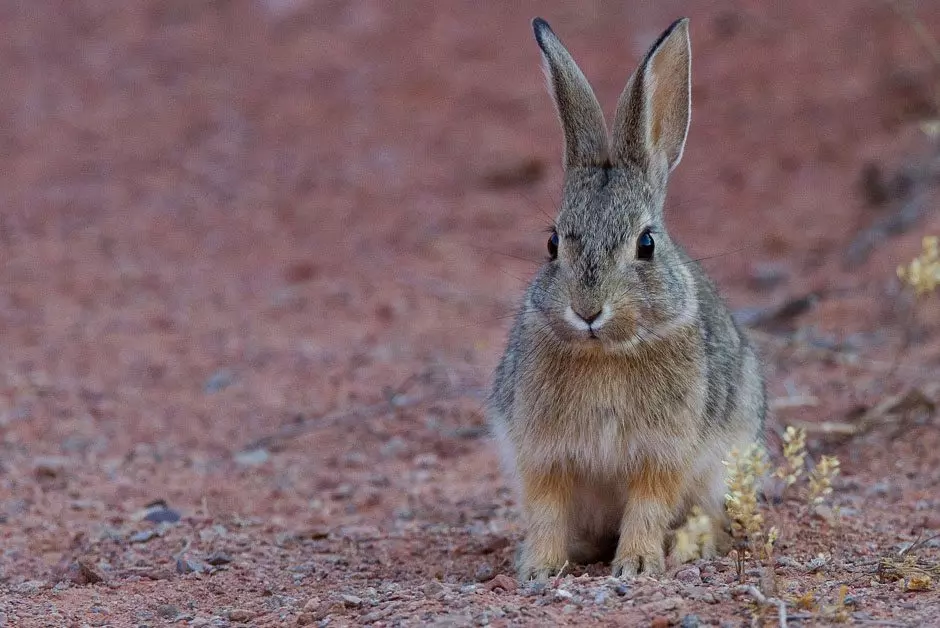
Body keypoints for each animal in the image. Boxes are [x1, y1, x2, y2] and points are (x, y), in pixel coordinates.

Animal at [487, 16, 766, 581]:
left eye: (646, 244)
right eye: (553, 243)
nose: (588, 311)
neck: (606, 353)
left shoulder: (662, 454)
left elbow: (648, 505)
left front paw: (637, 564)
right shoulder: (542, 453)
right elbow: (546, 508)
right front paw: (539, 568)